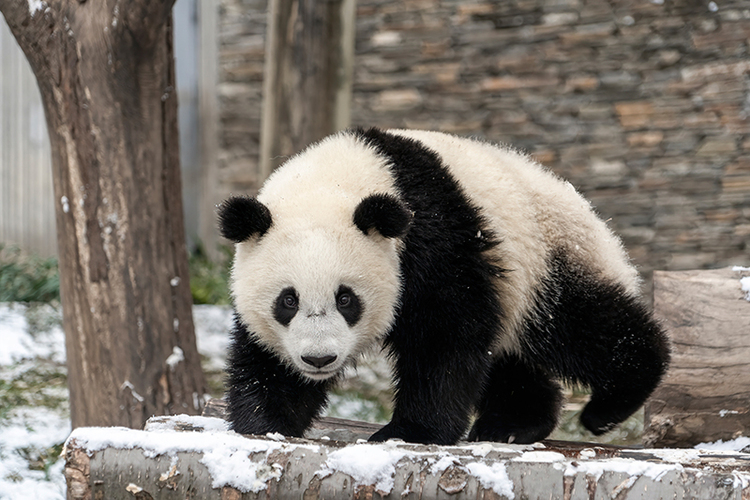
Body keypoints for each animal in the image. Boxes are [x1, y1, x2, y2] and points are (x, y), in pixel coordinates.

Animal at [217, 126, 668, 446]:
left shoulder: (432, 235)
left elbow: (446, 333)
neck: (336, 181)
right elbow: (265, 358)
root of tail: (592, 216)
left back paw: (609, 405)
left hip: (545, 256)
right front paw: (267, 422)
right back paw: (513, 423)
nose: (318, 358)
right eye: (287, 301)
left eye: (346, 299)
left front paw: (411, 431)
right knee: (509, 355)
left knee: (580, 325)